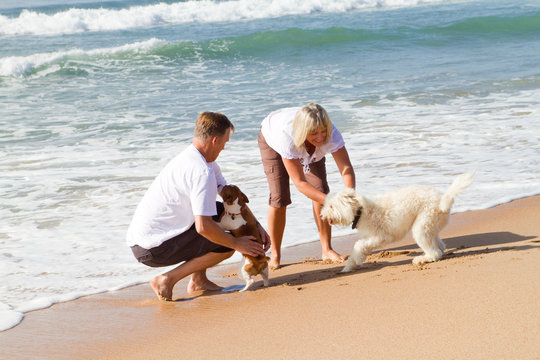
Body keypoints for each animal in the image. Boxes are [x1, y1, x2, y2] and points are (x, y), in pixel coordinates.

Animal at [320, 173, 472, 272]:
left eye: (331, 206)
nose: (322, 215)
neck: (361, 210)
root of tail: (443, 200)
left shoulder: (380, 237)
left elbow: (359, 245)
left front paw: (355, 261)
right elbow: (359, 248)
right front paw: (349, 266)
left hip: (421, 227)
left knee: (435, 253)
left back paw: (422, 259)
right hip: (430, 225)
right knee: (440, 245)